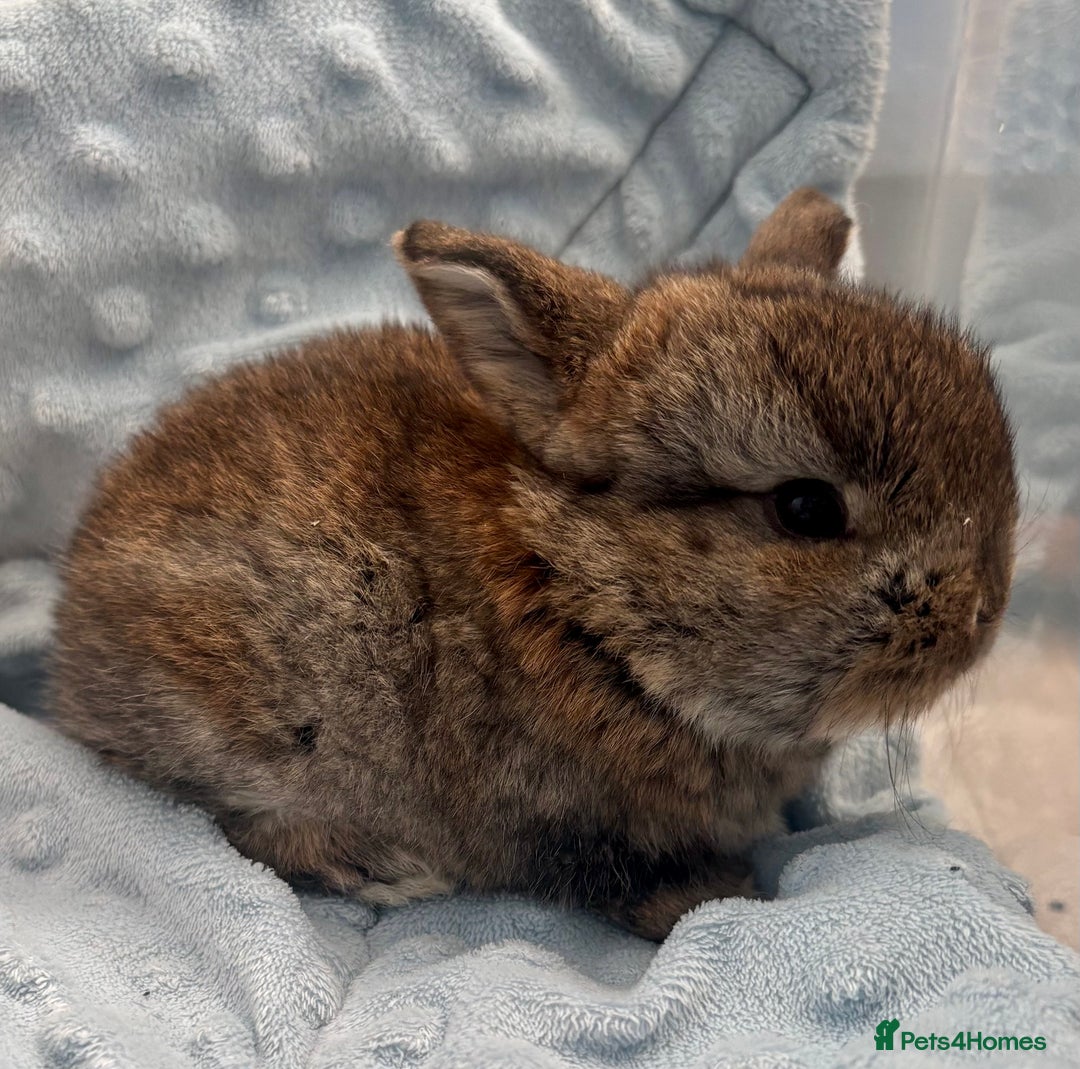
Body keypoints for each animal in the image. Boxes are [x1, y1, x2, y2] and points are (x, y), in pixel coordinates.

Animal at [48, 188, 1019, 940]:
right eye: (806, 507)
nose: (983, 615)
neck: (585, 598)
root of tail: (66, 634)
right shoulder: (559, 820)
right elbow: (617, 875)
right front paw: (722, 894)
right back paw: (383, 867)